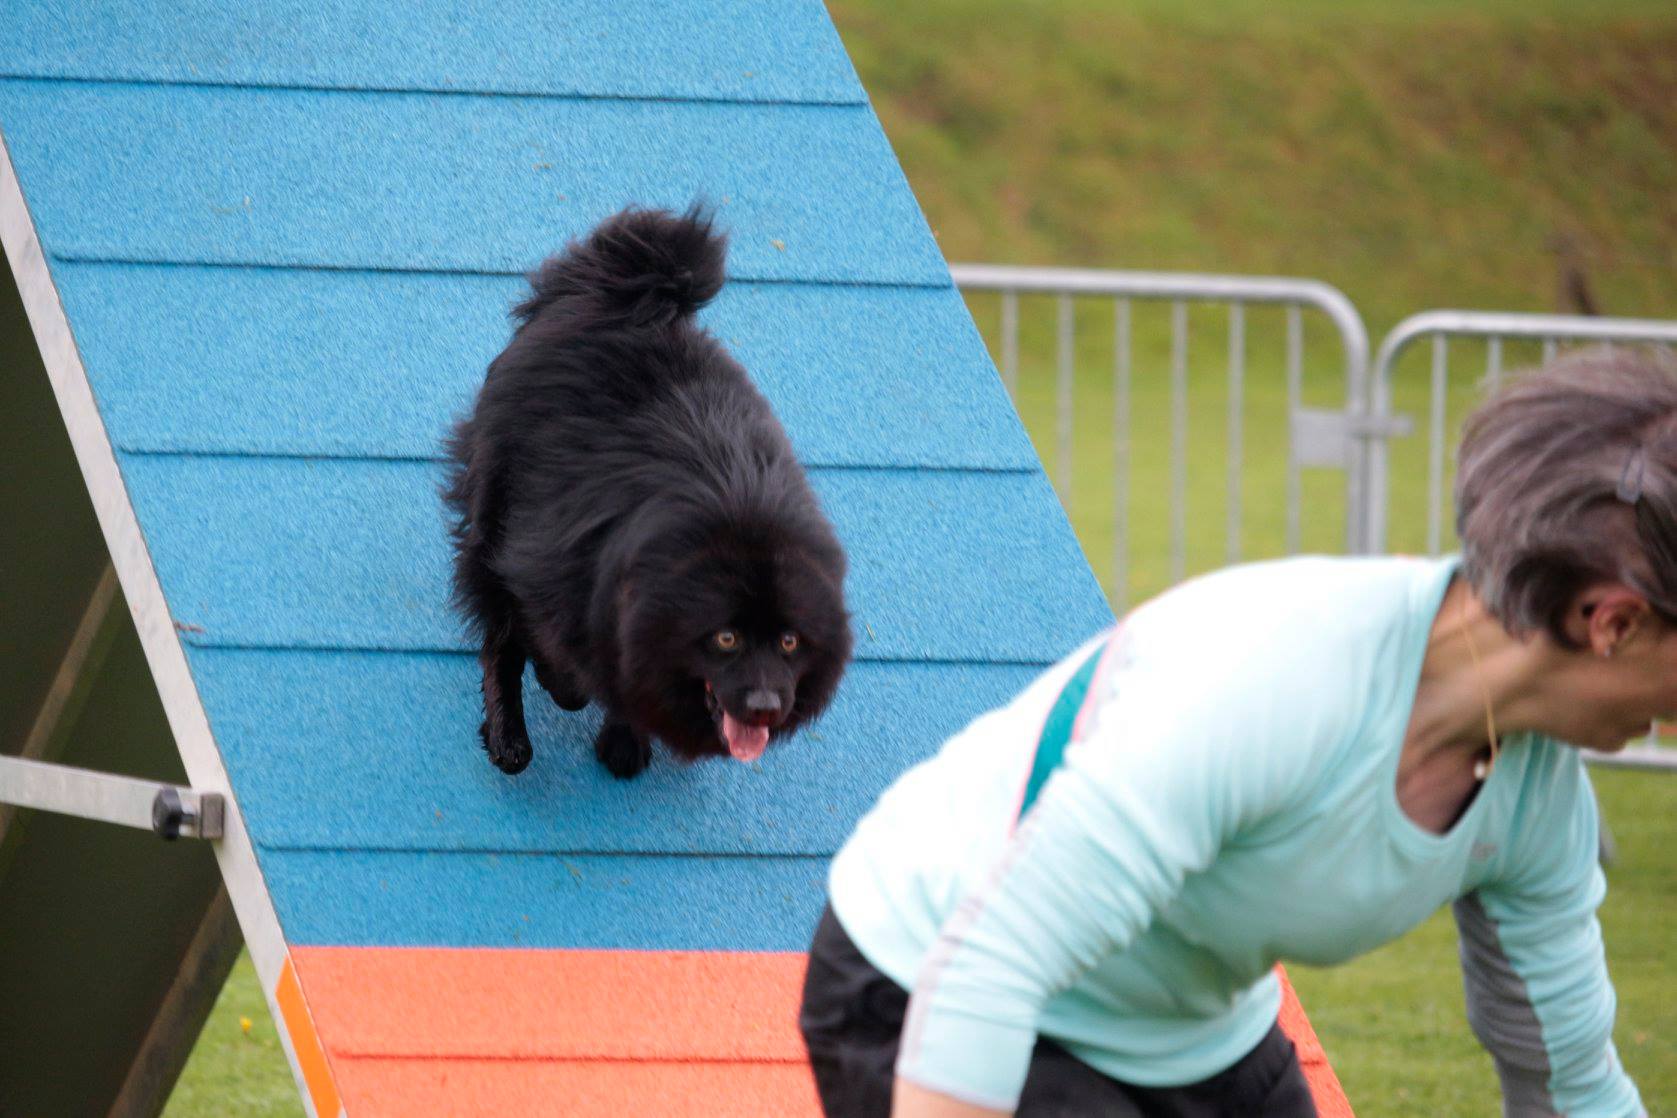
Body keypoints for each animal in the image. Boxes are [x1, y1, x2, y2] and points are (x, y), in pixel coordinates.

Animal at [446, 207, 851, 777]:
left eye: (790, 642)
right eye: (726, 638)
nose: (765, 708)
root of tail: (607, 293)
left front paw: (624, 740)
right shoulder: (549, 566)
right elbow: (548, 651)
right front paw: (561, 690)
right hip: (495, 503)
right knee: (497, 628)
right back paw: (510, 739)